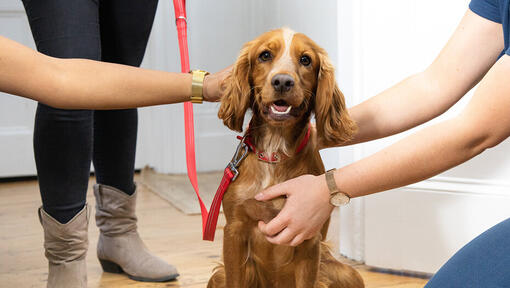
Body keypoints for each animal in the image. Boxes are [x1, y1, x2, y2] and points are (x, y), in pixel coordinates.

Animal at [208, 27, 366, 288]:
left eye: (306, 60)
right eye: (264, 55)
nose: (282, 81)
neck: (275, 151)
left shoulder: (308, 239)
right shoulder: (234, 231)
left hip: (347, 274)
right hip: (218, 276)